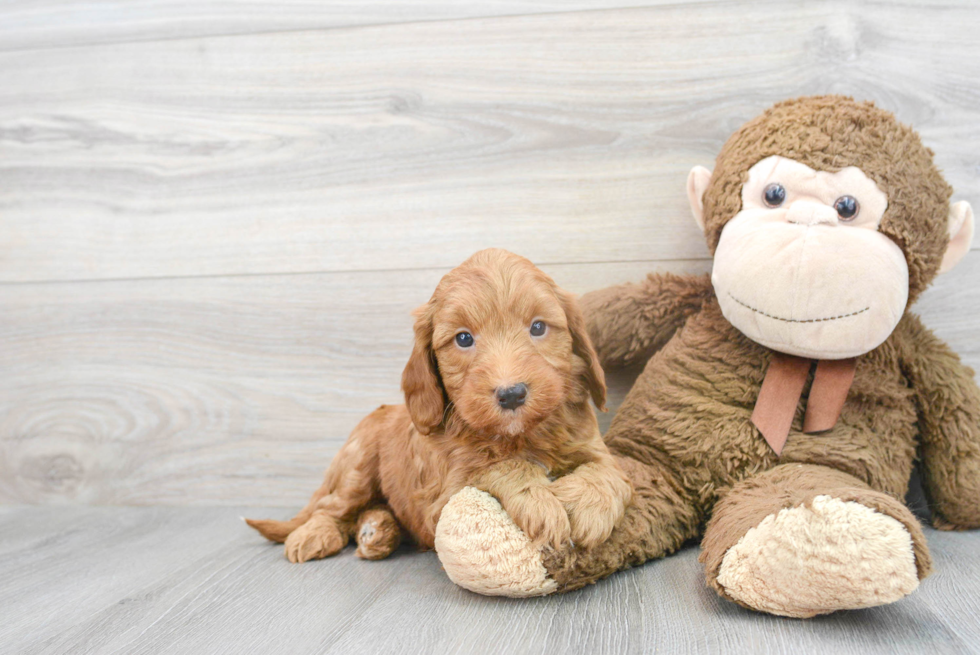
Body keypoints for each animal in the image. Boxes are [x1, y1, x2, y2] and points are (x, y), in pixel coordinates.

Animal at [245, 251, 628, 564]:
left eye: (538, 327)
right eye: (463, 338)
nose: (512, 394)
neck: (520, 435)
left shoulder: (594, 446)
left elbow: (608, 471)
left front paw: (589, 507)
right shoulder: (445, 496)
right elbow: (501, 466)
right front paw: (541, 503)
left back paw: (378, 530)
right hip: (357, 463)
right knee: (332, 507)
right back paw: (315, 534)